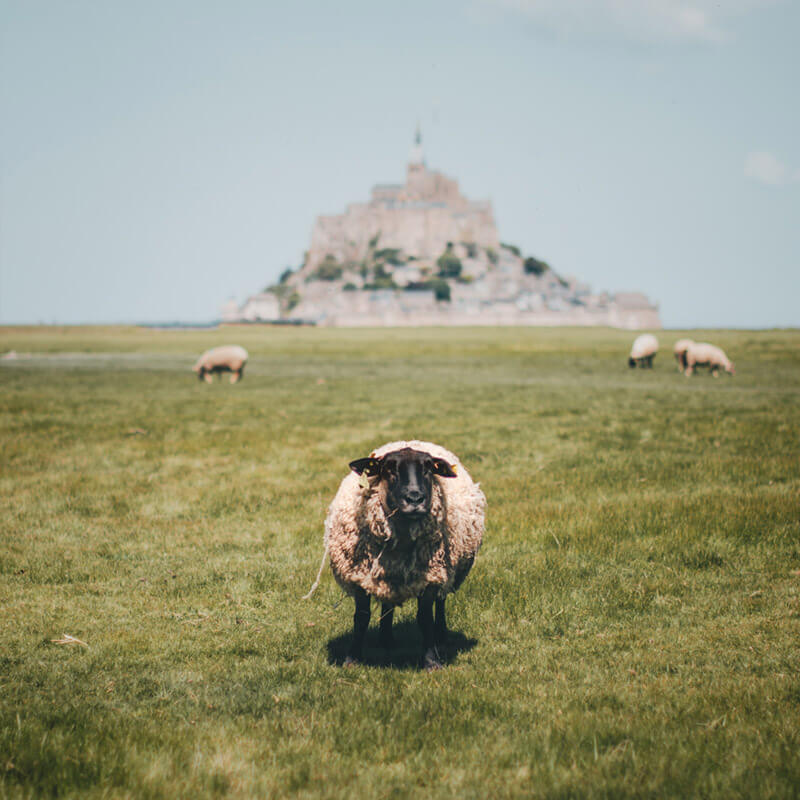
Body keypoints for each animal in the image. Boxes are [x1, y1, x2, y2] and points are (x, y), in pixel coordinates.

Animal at [309, 440, 485, 670]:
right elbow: (361, 617)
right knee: (387, 604)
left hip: (446, 572)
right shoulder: (360, 577)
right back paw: (385, 639)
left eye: (428, 469)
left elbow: (425, 618)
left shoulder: (430, 577)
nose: (415, 498)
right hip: (387, 577)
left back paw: (440, 635)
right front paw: (352, 658)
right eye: (389, 469)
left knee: (441, 601)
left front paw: (431, 661)